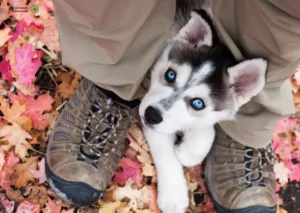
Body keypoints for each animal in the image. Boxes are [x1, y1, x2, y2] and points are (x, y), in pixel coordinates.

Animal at [138, 0, 268, 212]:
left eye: (198, 103)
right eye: (170, 75)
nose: (151, 115)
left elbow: (206, 132)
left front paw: (186, 152)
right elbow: (165, 152)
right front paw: (173, 195)